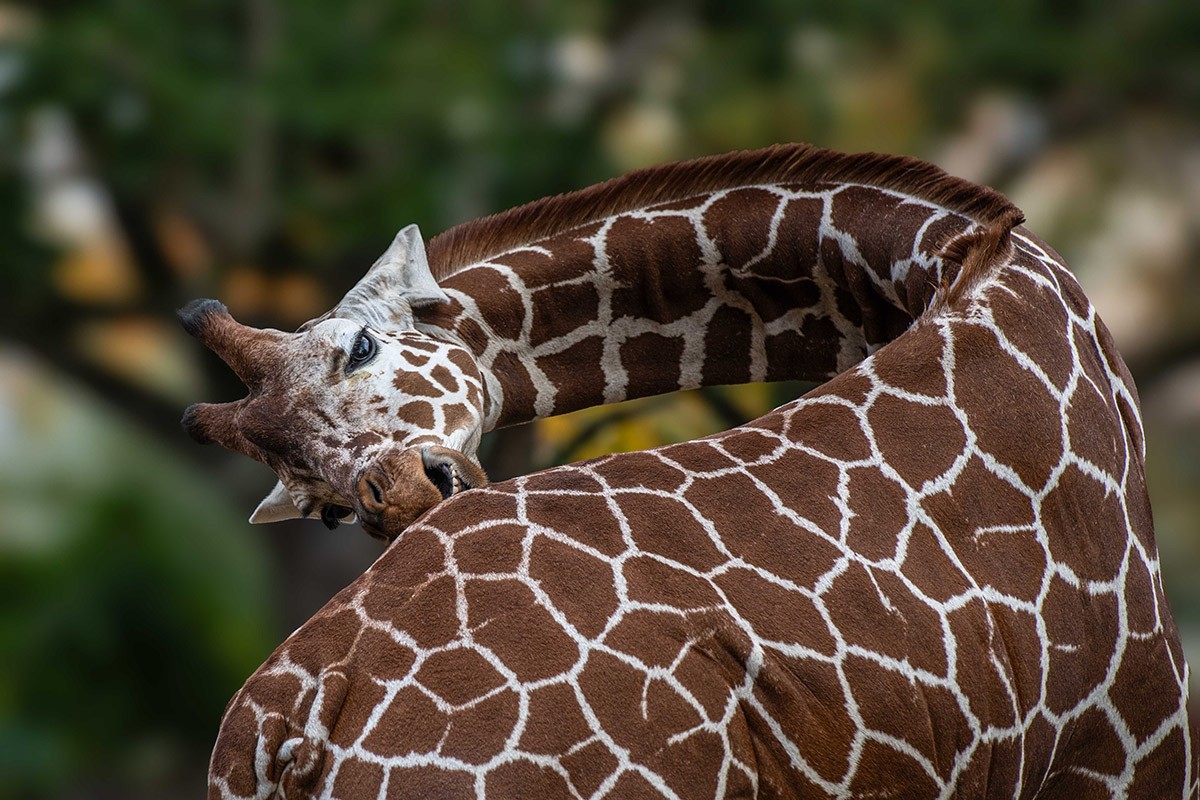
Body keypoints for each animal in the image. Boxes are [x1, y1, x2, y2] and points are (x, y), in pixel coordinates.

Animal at [188, 145, 1196, 798]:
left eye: (361, 346)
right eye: (318, 506)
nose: (402, 496)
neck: (971, 268)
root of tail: (285, 730)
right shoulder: (1131, 736)